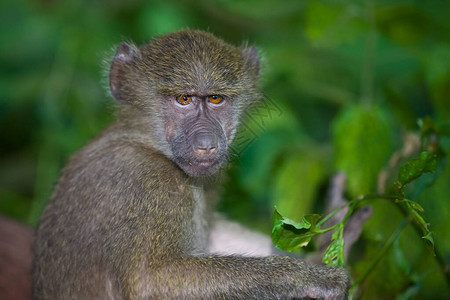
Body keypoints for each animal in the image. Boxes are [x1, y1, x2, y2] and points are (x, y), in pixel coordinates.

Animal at [31, 29, 352, 298]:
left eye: (216, 99)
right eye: (183, 99)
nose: (206, 144)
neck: (146, 141)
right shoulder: (146, 183)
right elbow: (150, 283)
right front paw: (309, 277)